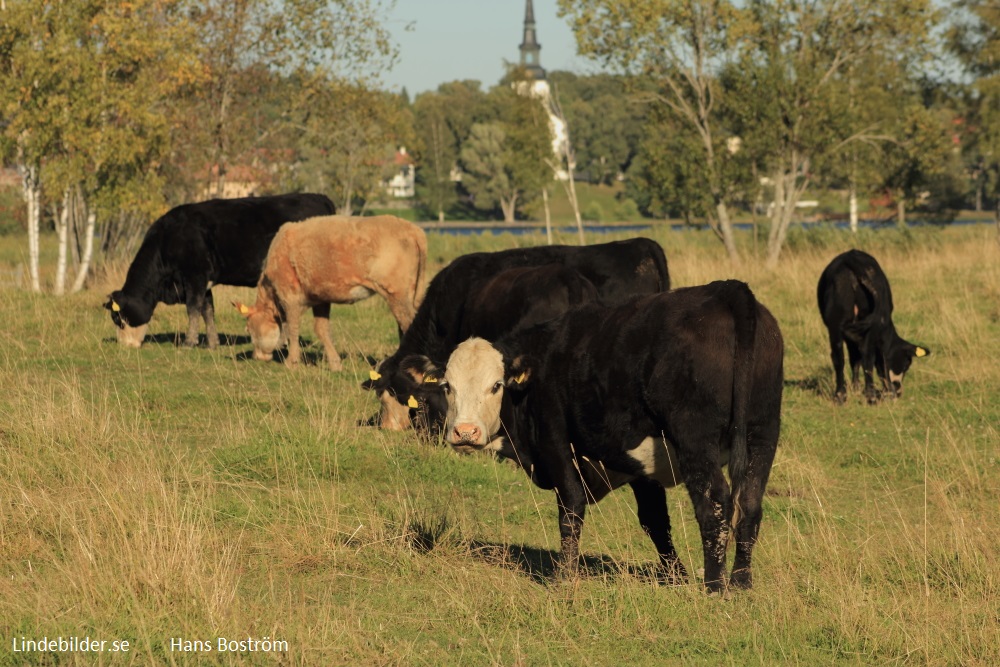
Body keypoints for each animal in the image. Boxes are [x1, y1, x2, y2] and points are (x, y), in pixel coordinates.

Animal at [105, 192, 334, 350]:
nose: (123, 346)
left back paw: (281, 344)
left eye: (118, 318)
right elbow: (208, 311)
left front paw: (189, 342)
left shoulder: (194, 276)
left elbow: (193, 309)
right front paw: (212, 343)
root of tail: (318, 197)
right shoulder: (204, 282)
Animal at [234, 214, 426, 370]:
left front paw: (292, 362)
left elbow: (292, 327)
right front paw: (335, 363)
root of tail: (412, 229)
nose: (256, 356)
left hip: (396, 295)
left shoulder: (289, 297)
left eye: (248, 329)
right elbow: (322, 329)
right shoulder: (320, 299)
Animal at [442, 282, 784, 596]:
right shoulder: (642, 466)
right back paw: (741, 582)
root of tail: (724, 290)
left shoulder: (555, 442)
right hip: (762, 433)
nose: (465, 431)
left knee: (714, 503)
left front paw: (563, 576)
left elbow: (571, 506)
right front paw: (674, 575)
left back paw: (715, 585)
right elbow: (655, 521)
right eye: (448, 386)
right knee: (749, 504)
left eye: (496, 385)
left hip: (696, 439)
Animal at [820, 249, 928, 404]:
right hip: (868, 326)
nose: (898, 389)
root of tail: (852, 258)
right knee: (866, 355)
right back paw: (870, 393)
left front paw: (856, 387)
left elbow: (855, 359)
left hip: (836, 325)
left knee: (839, 356)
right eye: (906, 364)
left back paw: (841, 395)